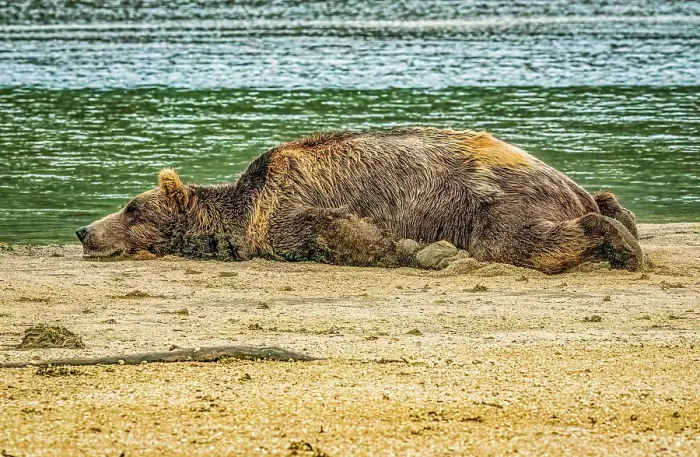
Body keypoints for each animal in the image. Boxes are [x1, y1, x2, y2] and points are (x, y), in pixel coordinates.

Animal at [75, 128, 642, 274]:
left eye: (131, 207)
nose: (83, 230)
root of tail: (563, 183)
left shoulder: (284, 203)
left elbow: (337, 229)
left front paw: (413, 251)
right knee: (607, 199)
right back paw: (622, 223)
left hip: (494, 203)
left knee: (522, 241)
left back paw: (623, 247)